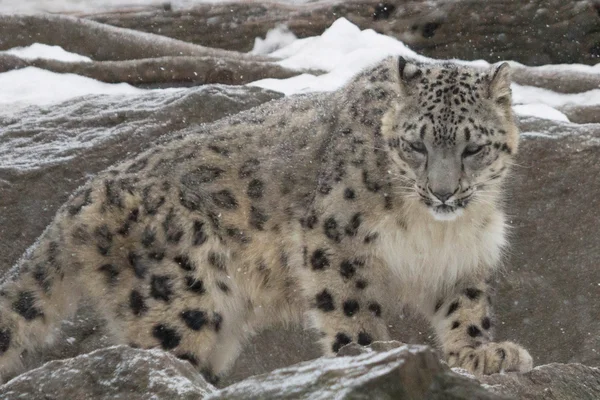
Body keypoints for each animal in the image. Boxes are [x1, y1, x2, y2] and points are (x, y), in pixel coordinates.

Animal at [0, 55, 536, 382]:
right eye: (416, 144)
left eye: (473, 147)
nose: (443, 191)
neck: (435, 230)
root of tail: (83, 194)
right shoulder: (336, 239)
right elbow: (350, 307)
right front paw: (367, 352)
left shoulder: (463, 256)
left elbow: (465, 306)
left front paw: (482, 353)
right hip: (179, 293)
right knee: (161, 354)